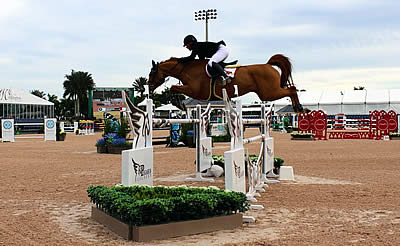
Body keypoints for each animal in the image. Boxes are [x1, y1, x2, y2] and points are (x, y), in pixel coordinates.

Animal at [148, 53, 304, 112]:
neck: (187, 69)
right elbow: (173, 88)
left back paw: (298, 108)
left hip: (268, 93)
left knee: (292, 90)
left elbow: (173, 87)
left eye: (152, 73)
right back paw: (298, 108)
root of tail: (267, 65)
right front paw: (178, 103)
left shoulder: (195, 91)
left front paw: (178, 104)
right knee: (291, 89)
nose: (149, 87)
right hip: (268, 93)